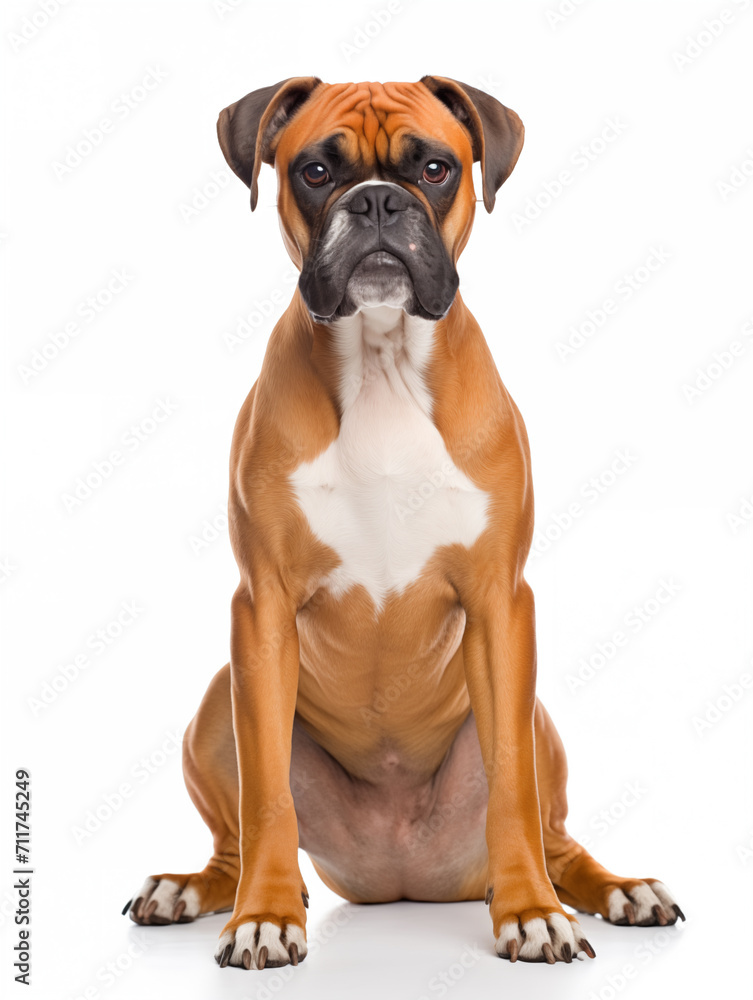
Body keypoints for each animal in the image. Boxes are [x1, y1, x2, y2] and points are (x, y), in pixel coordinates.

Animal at [122, 76, 680, 968]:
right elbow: (267, 796)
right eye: (316, 171)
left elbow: (512, 793)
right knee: (235, 839)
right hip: (217, 702)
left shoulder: (499, 605)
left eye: (434, 167)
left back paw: (614, 890)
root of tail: (401, 880)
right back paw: (198, 889)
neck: (381, 360)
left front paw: (530, 912)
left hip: (537, 719)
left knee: (557, 838)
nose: (378, 201)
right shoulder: (261, 610)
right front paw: (263, 917)